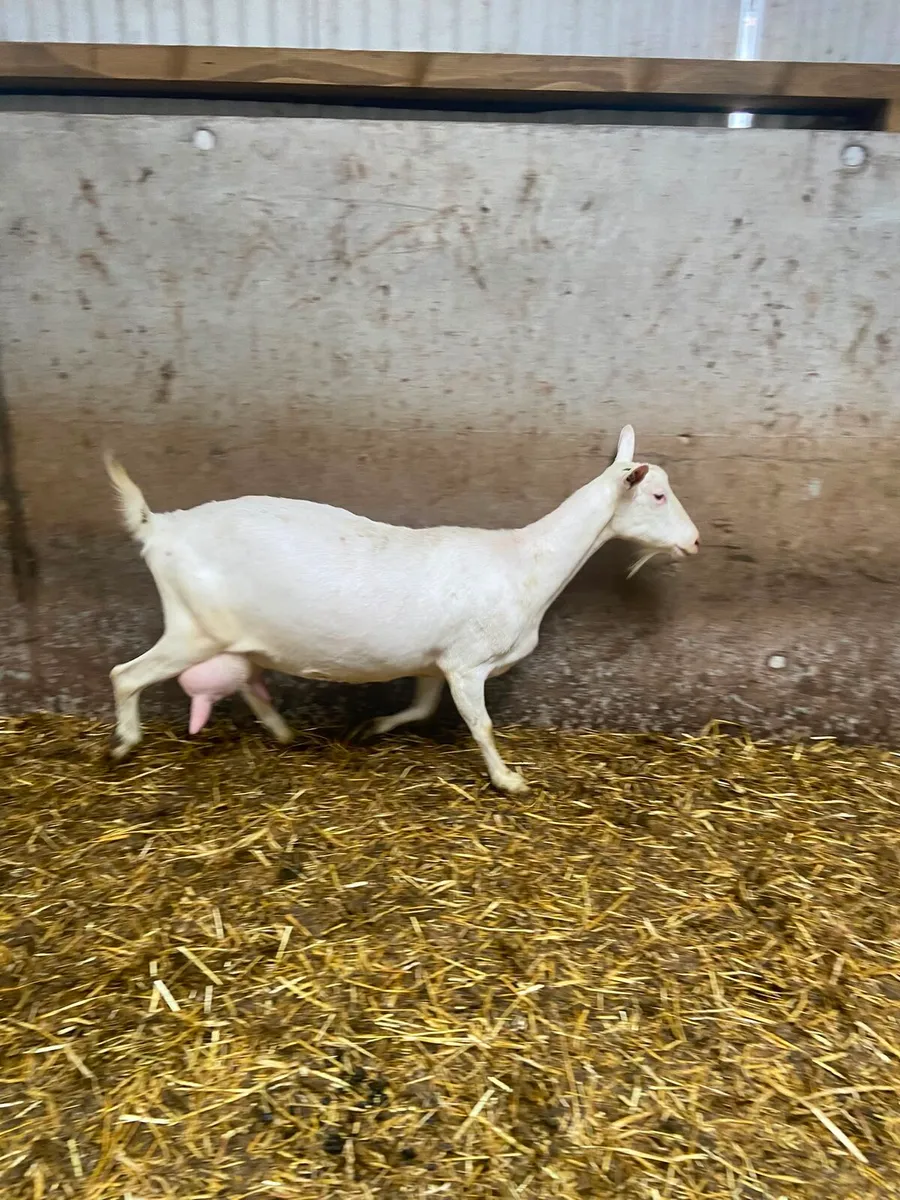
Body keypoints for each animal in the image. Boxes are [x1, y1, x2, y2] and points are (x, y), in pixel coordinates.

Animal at [104, 425, 699, 792]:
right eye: (658, 496)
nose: (694, 542)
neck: (524, 563)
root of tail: (159, 526)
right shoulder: (466, 663)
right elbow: (481, 726)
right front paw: (508, 780)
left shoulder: (436, 663)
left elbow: (420, 709)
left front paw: (373, 727)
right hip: (191, 629)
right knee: (124, 674)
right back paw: (124, 744)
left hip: (233, 635)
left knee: (248, 681)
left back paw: (283, 733)